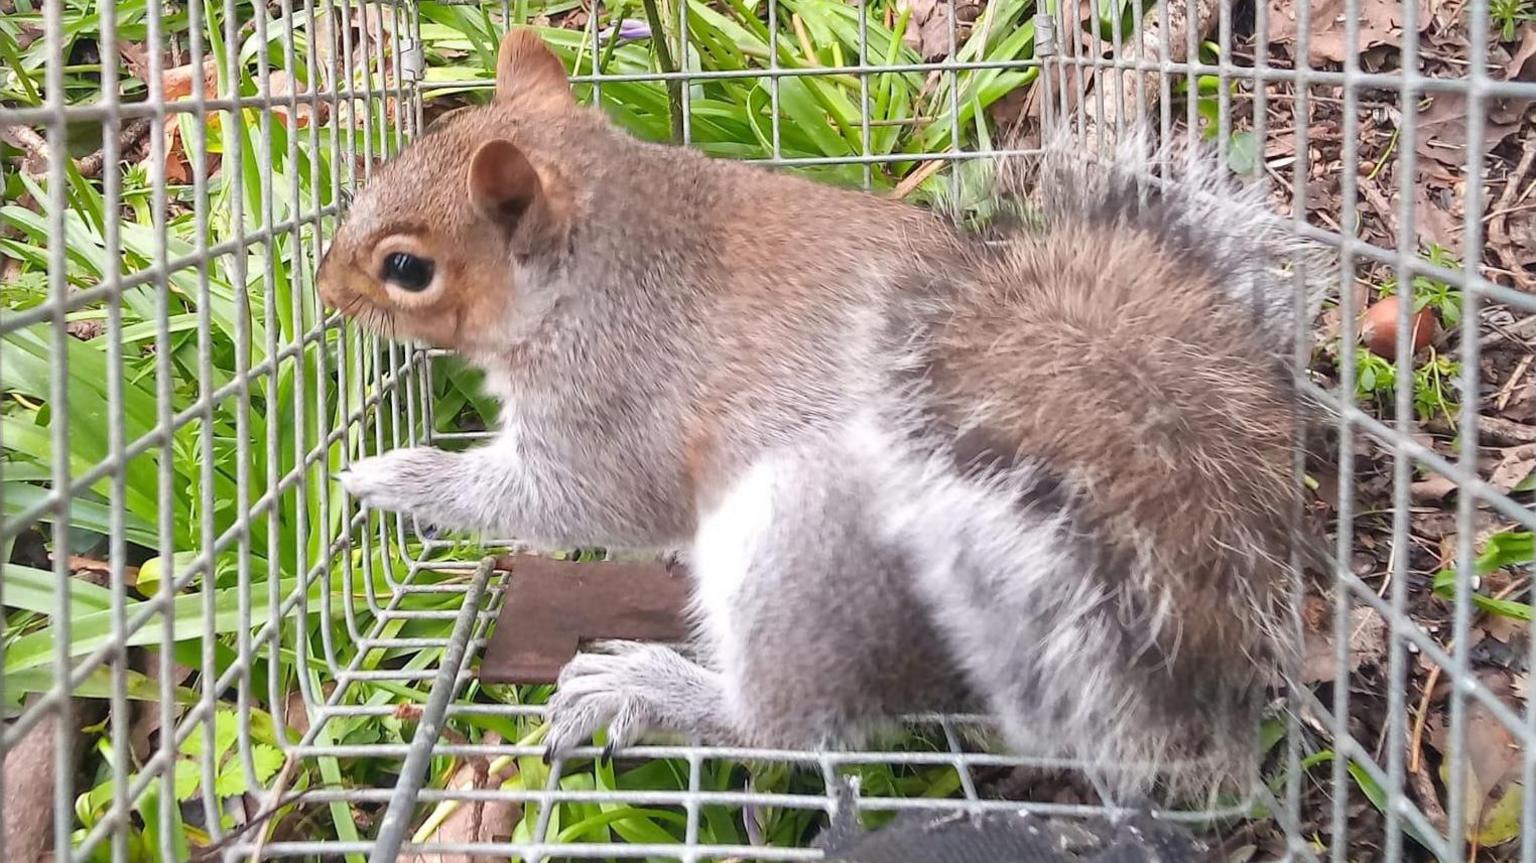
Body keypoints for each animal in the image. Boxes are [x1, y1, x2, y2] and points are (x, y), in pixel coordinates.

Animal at [321, 26, 1333, 798]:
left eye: (407, 267)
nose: (326, 290)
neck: (599, 262)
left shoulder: (615, 400)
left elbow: (576, 500)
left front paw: (392, 476)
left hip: (799, 544)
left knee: (780, 722)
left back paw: (647, 688)